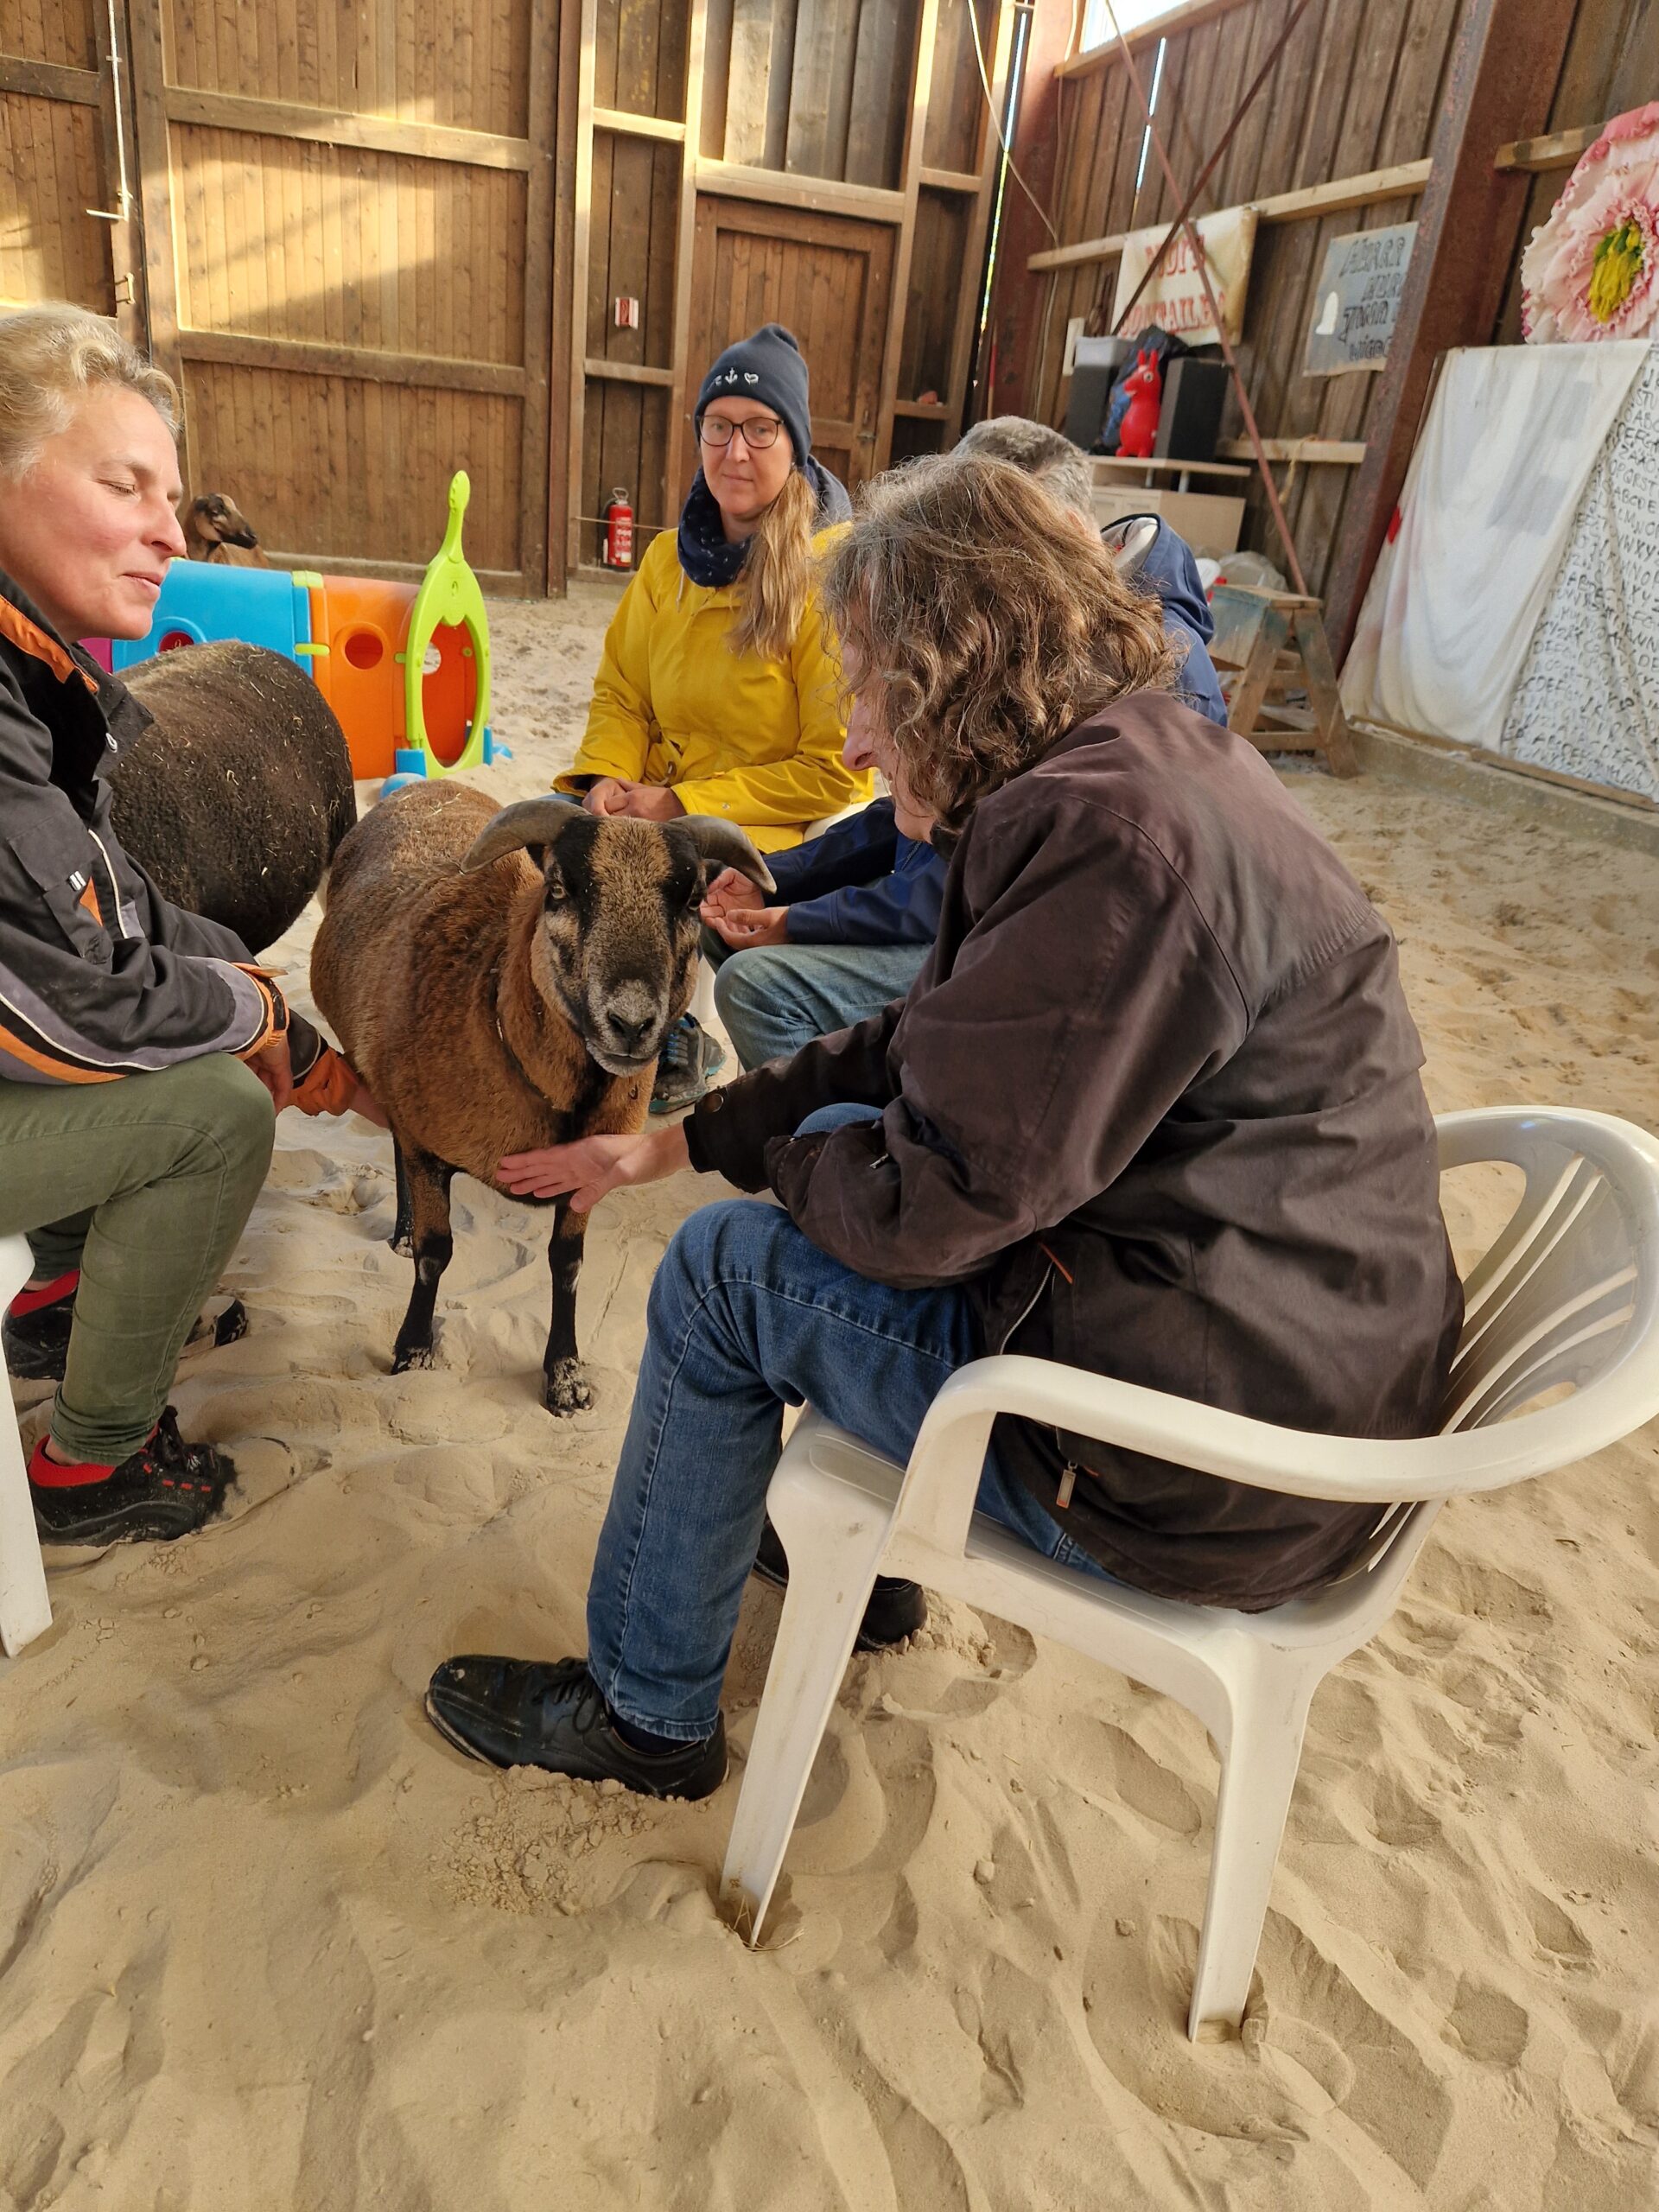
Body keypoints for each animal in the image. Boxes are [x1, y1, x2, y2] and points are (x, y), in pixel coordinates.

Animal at [311, 791, 779, 1415]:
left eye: (694, 898)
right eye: (559, 888)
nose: (632, 1024)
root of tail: (421, 793)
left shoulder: (586, 1172)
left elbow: (568, 1264)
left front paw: (565, 1377)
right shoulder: (428, 1146)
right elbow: (436, 1254)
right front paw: (411, 1352)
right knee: (394, 1141)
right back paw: (403, 1232)